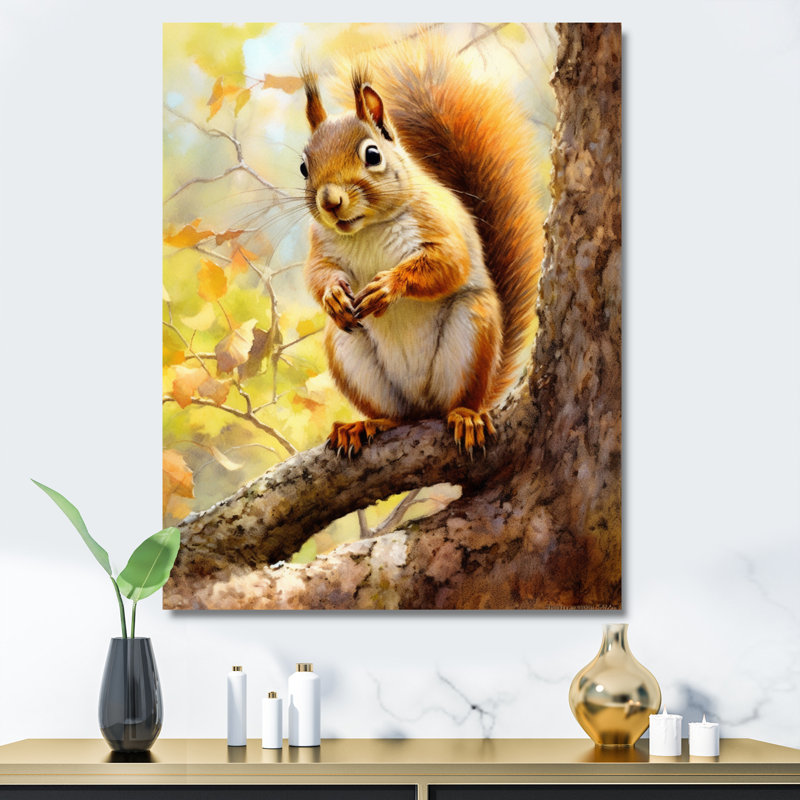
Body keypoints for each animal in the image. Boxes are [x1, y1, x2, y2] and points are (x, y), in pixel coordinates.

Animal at [299, 42, 543, 456]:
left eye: (373, 155)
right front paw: (332, 295)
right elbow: (317, 274)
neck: (367, 229)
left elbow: (448, 264)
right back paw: (365, 425)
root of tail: (422, 408)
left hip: (472, 331)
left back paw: (466, 417)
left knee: (457, 401)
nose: (330, 201)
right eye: (303, 167)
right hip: (347, 348)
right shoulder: (321, 246)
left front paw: (387, 287)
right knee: (395, 414)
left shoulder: (436, 222)